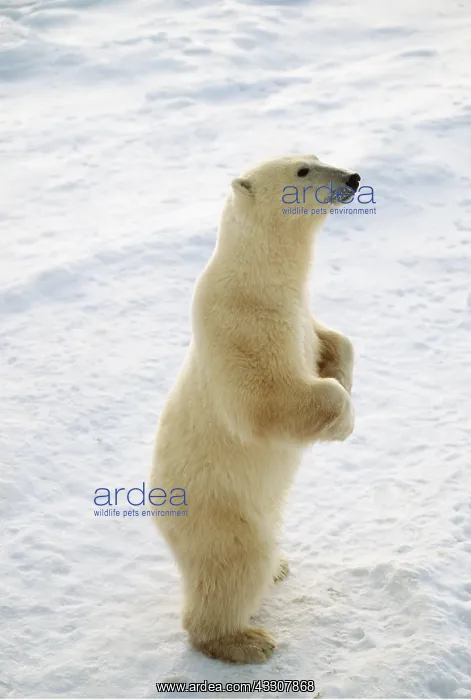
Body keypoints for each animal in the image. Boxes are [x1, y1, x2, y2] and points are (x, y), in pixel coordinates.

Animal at [150, 154, 359, 664]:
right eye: (303, 171)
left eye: (318, 156)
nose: (353, 178)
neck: (260, 280)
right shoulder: (242, 324)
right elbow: (265, 400)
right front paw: (342, 419)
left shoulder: (299, 314)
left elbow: (332, 340)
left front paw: (345, 376)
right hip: (219, 508)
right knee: (235, 566)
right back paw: (244, 640)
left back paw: (280, 569)